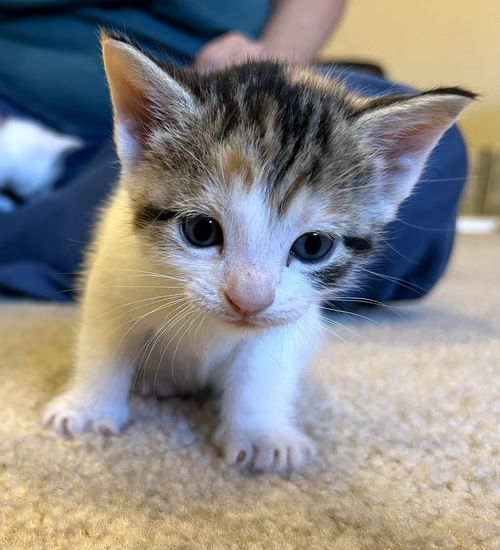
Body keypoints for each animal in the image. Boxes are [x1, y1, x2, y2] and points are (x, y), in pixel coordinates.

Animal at [44, 32, 472, 476]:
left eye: (313, 246)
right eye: (200, 231)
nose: (249, 300)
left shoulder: (289, 318)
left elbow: (261, 371)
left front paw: (260, 436)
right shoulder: (116, 270)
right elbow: (104, 345)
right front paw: (90, 409)